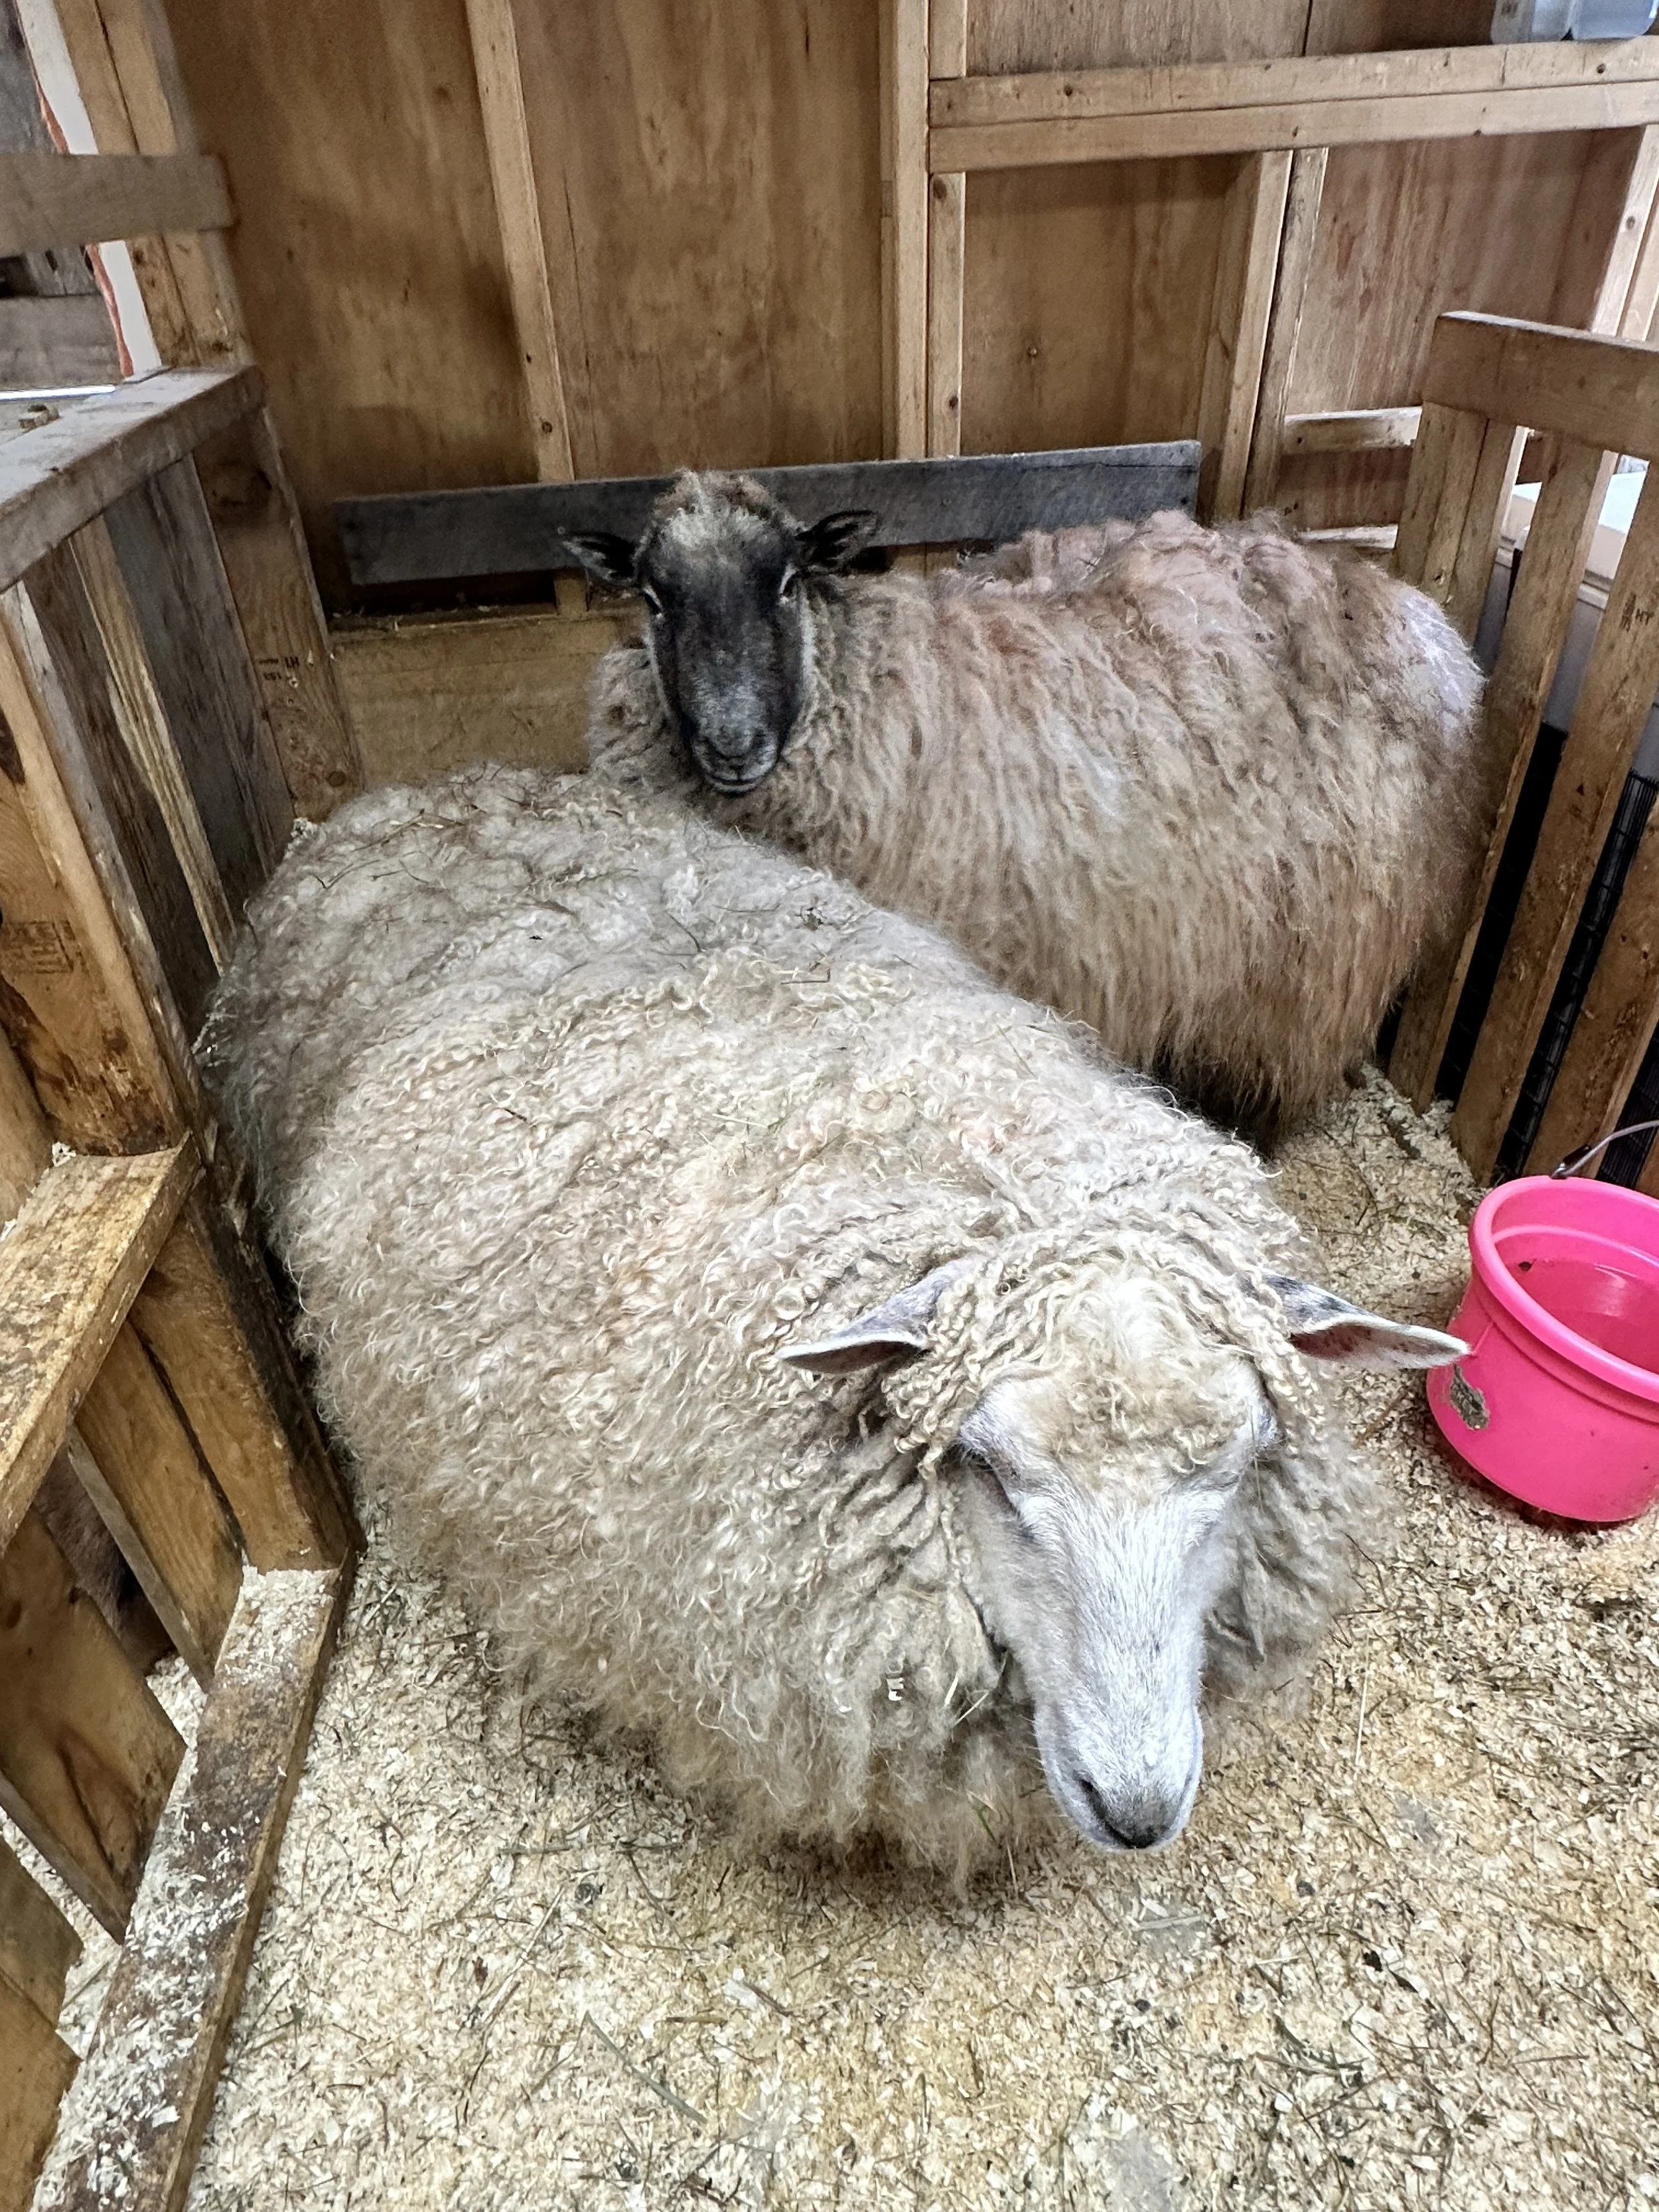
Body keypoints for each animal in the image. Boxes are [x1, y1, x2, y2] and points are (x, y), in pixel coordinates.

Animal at [575, 477, 1488, 1147]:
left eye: (789, 583)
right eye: (653, 599)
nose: (733, 743)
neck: (864, 682)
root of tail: (1400, 601)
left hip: (1322, 946)